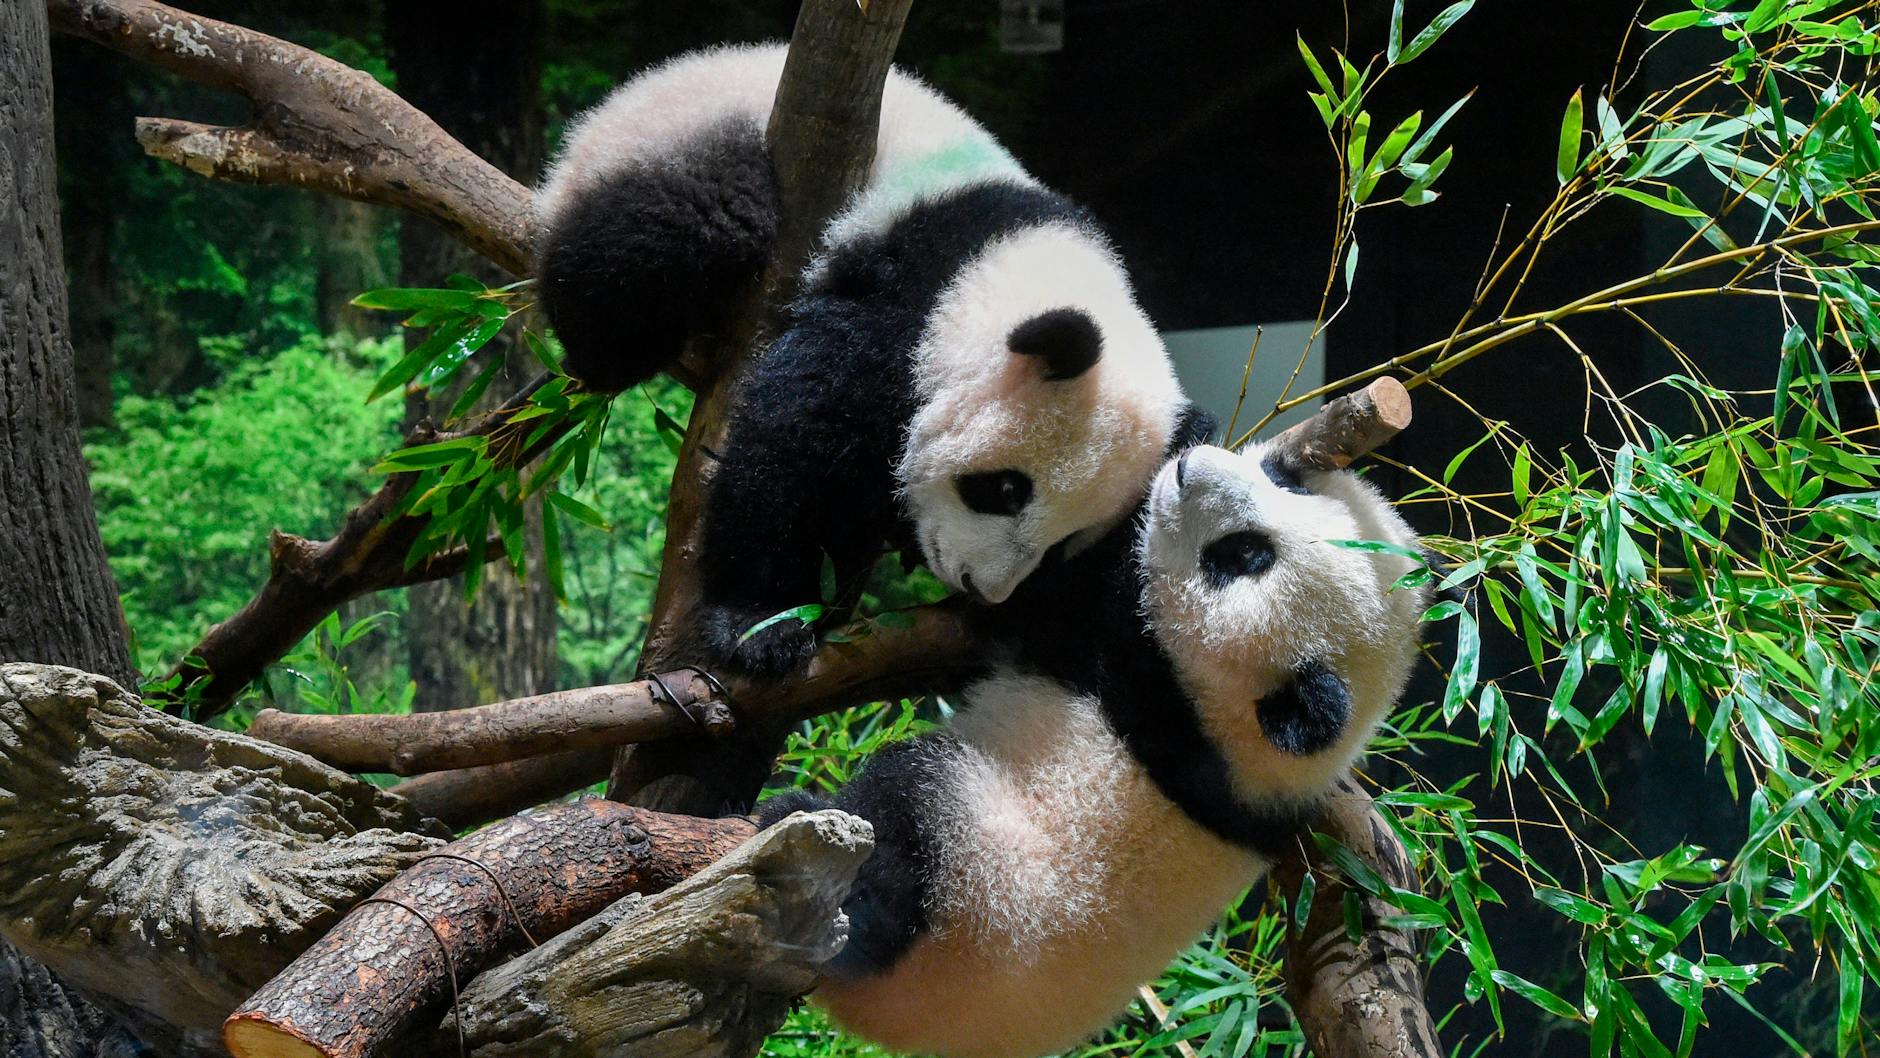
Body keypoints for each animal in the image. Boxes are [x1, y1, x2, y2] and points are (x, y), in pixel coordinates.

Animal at [535, 45, 1186, 674]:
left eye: (1062, 545)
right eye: (1005, 490)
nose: (981, 587)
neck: (1013, 263)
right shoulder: (909, 292)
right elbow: (797, 434)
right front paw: (762, 623)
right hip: (683, 140)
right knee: (675, 230)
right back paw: (609, 354)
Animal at [758, 436, 1431, 1058]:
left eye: (1244, 555)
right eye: (1282, 481)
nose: (1190, 467)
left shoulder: (1147, 683)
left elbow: (1049, 605)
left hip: (971, 889)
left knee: (903, 828)